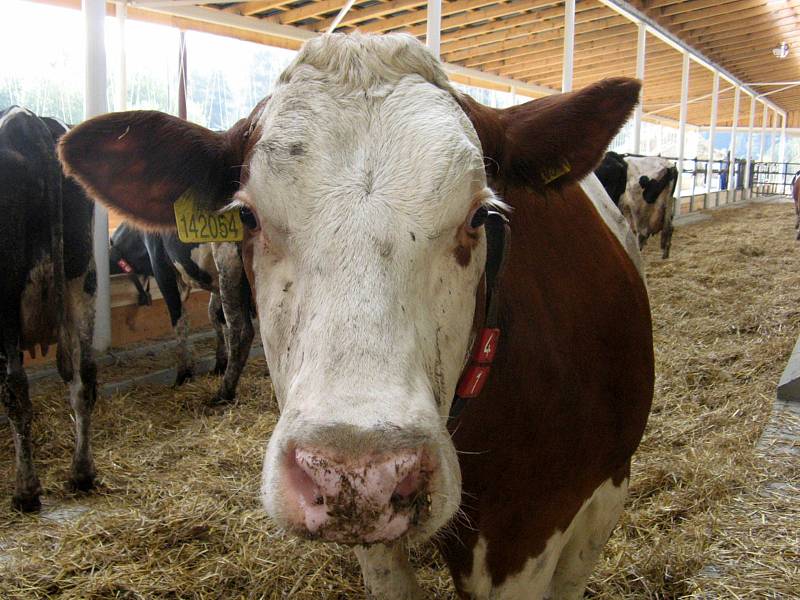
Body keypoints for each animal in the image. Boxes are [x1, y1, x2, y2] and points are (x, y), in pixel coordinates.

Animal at [106, 223, 250, 400]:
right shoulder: (212, 281)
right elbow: (215, 315)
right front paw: (219, 366)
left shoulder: (161, 267)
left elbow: (179, 319)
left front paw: (183, 375)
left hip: (228, 262)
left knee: (241, 330)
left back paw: (225, 392)